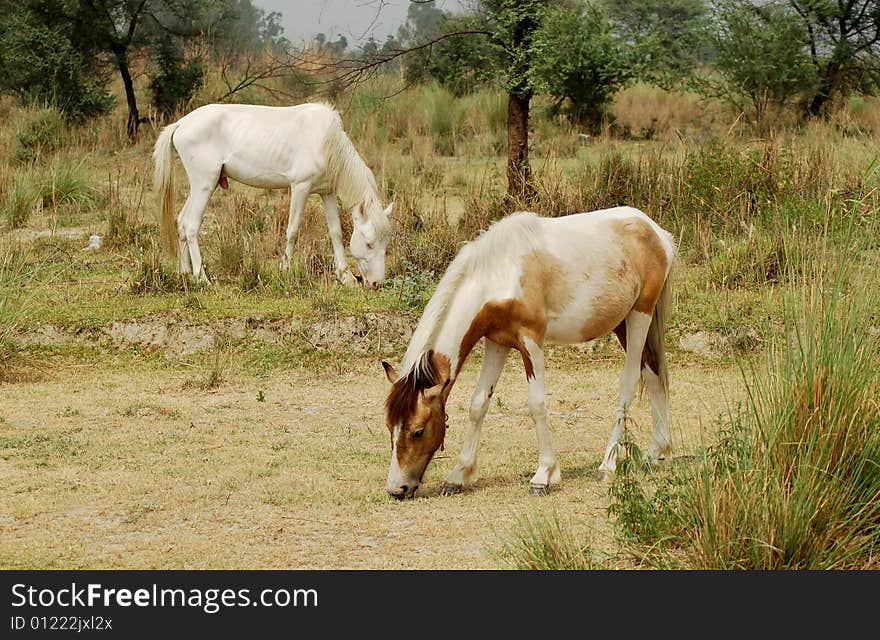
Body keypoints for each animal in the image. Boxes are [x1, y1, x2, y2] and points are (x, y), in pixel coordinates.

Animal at [153, 102, 394, 288]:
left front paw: (344, 276)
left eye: (385, 243)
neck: (325, 140)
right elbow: (293, 231)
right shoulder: (300, 187)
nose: (376, 284)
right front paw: (285, 270)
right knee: (191, 226)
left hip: (198, 187)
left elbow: (335, 232)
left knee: (181, 222)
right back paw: (201, 277)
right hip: (204, 184)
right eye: (369, 244)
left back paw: (185, 272)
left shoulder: (327, 193)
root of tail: (181, 124)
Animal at [382, 208, 676, 498]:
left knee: (629, 384)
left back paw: (608, 464)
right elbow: (478, 404)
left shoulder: (531, 342)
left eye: (418, 431)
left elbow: (537, 405)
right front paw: (459, 475)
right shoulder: (497, 343)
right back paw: (654, 453)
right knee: (653, 374)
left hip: (639, 316)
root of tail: (657, 233)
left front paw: (544, 475)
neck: (501, 272)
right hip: (623, 324)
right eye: (390, 427)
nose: (397, 489)